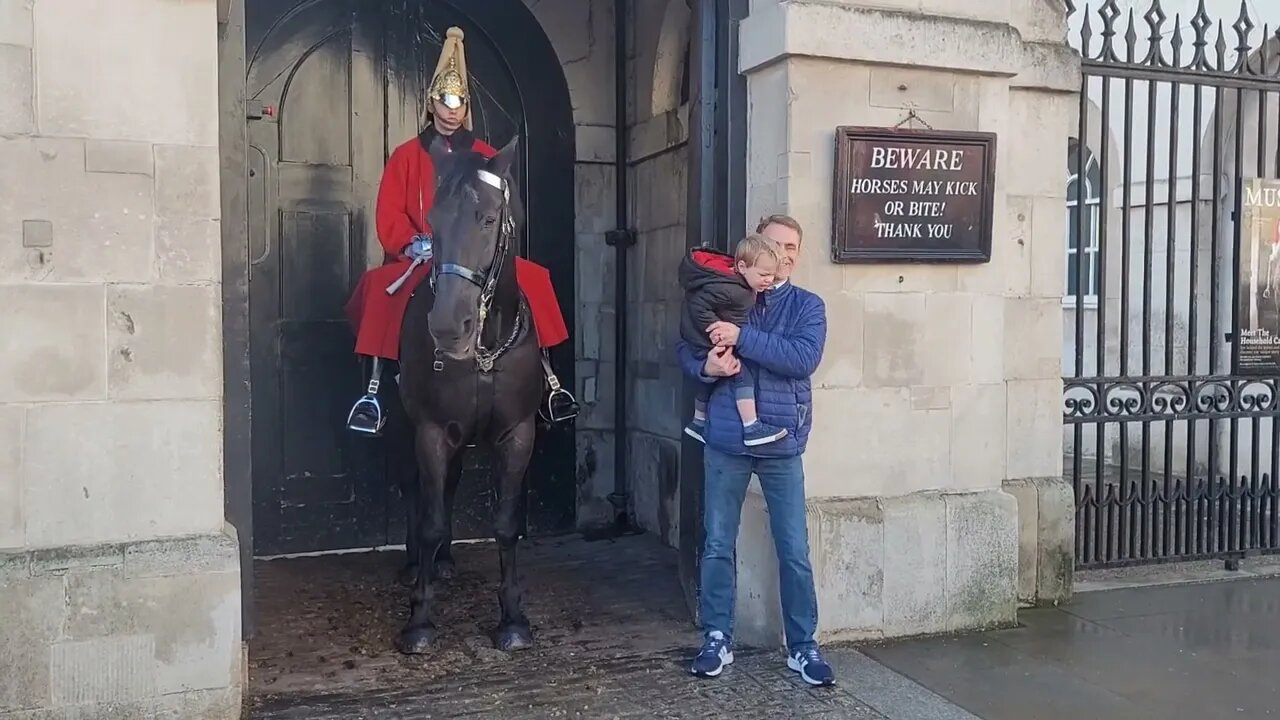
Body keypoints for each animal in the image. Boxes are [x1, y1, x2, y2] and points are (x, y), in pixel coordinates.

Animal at [391, 133, 537, 650]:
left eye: (490, 218)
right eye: (433, 221)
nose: (449, 328)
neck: (484, 351)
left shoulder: (517, 433)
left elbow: (507, 524)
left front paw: (513, 619)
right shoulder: (430, 431)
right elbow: (430, 518)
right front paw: (419, 619)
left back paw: (446, 562)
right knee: (414, 489)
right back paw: (416, 565)